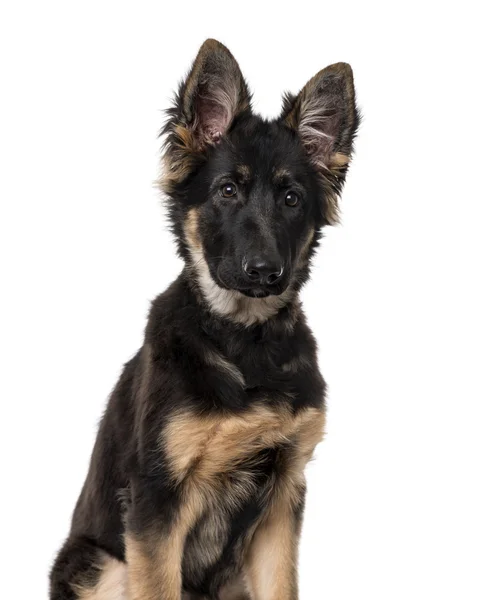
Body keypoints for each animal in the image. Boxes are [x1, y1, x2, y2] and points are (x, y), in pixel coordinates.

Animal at [49, 38, 358, 600]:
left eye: (291, 198)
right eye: (227, 191)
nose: (264, 271)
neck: (245, 340)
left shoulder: (282, 498)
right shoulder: (156, 501)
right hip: (104, 564)